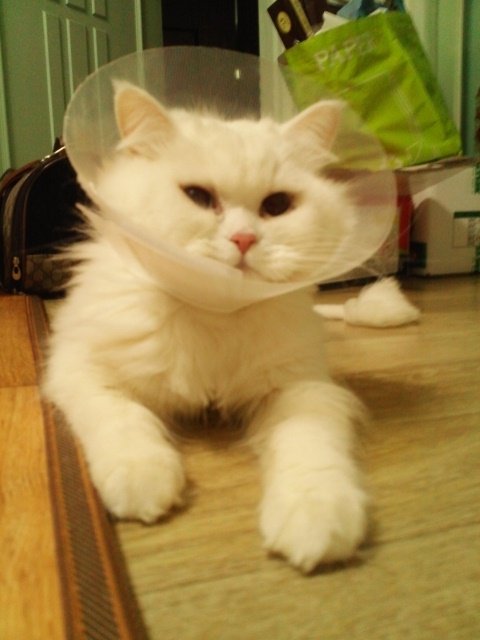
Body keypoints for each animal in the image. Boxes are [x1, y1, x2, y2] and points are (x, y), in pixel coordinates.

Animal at [44, 83, 368, 573]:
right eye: (198, 196)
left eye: (277, 206)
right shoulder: (82, 368)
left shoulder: (301, 387)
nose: (244, 240)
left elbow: (310, 445)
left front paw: (316, 517)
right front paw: (144, 481)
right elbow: (125, 422)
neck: (215, 313)